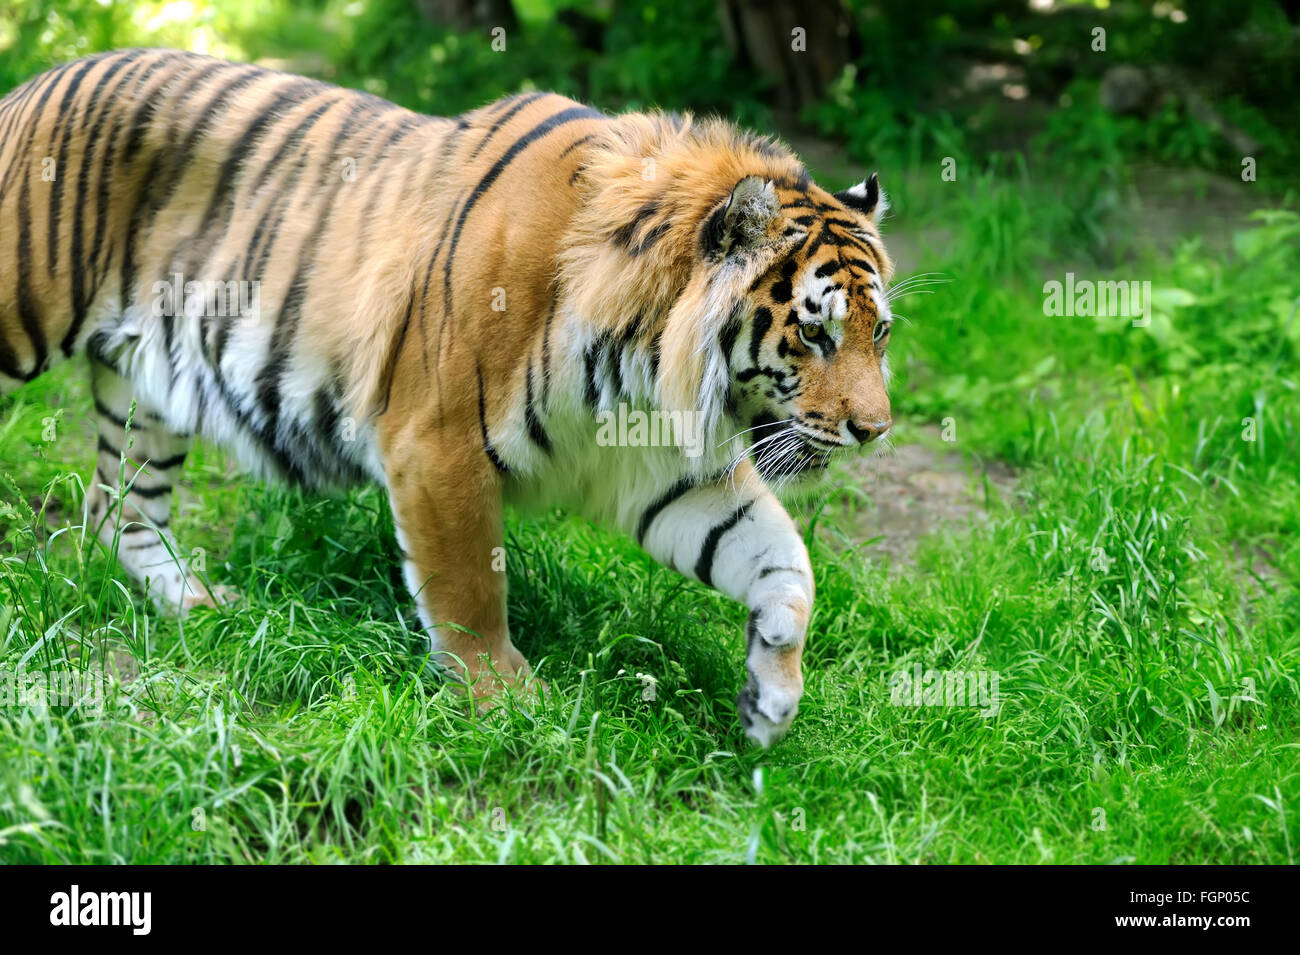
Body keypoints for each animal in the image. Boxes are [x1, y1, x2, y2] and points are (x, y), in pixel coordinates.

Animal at [0, 48, 894, 748]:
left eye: (878, 333)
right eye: (815, 332)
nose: (876, 429)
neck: (643, 362)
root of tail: (33, 83)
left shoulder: (662, 467)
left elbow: (783, 561)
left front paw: (771, 696)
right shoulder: (436, 442)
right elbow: (468, 584)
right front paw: (505, 700)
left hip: (148, 390)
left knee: (117, 509)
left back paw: (195, 603)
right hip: (24, 324)